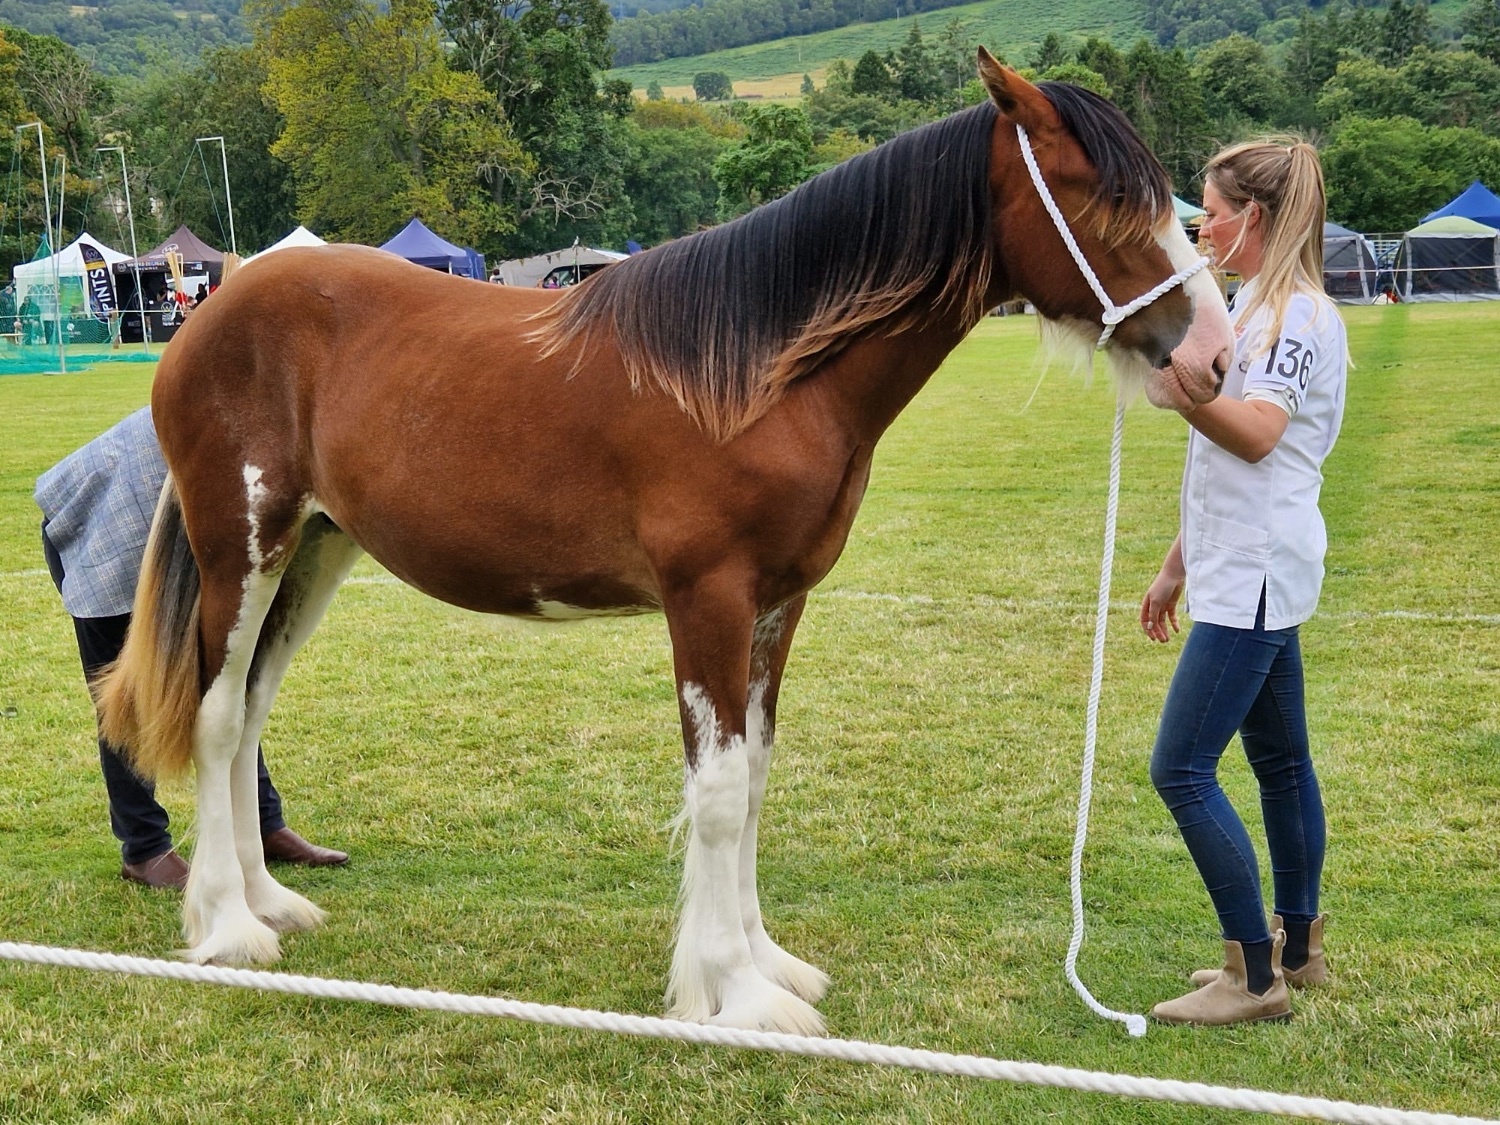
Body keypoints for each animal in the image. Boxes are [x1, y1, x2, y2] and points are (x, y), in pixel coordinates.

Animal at [97, 53, 1232, 1036]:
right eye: (1100, 200)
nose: (1214, 358)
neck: (762, 373)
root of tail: (209, 317)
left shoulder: (777, 606)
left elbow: (757, 777)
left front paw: (766, 962)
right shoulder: (708, 601)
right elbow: (720, 794)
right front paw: (735, 989)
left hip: (314, 553)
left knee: (250, 715)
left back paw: (269, 903)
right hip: (244, 549)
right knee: (213, 718)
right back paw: (228, 927)